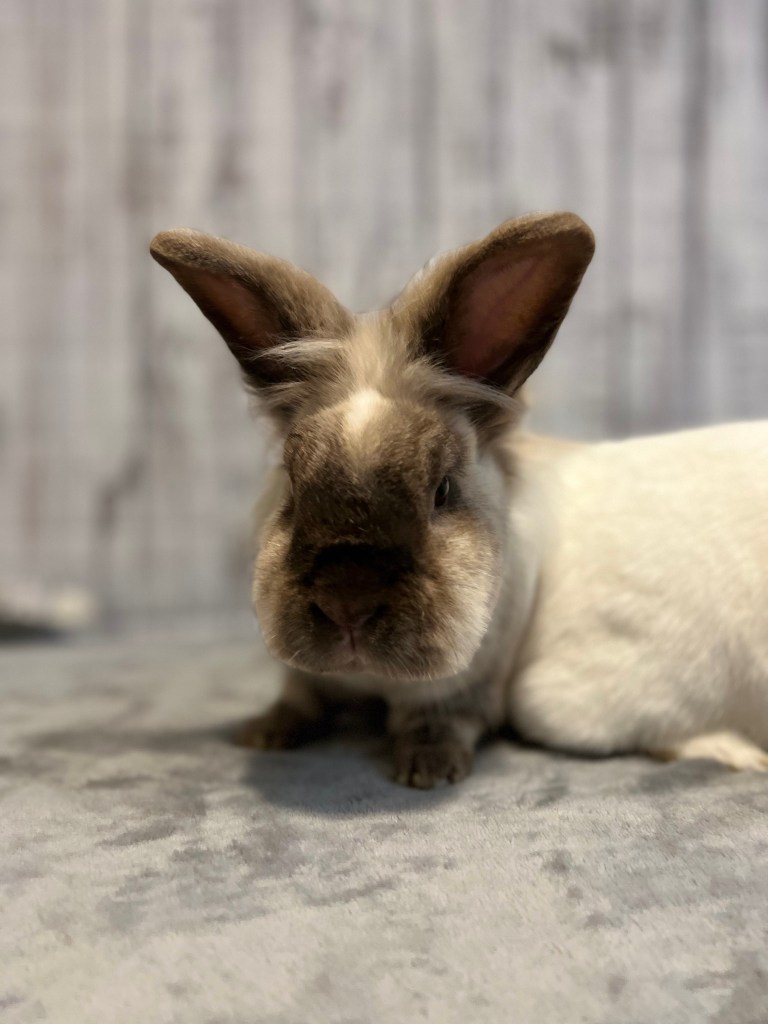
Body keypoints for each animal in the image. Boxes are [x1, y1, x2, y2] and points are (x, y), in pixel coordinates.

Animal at [150, 212, 768, 788]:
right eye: (293, 484)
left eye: (442, 490)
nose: (348, 603)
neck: (370, 681)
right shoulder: (308, 675)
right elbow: (299, 696)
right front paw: (264, 733)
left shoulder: (467, 689)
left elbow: (439, 721)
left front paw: (429, 768)